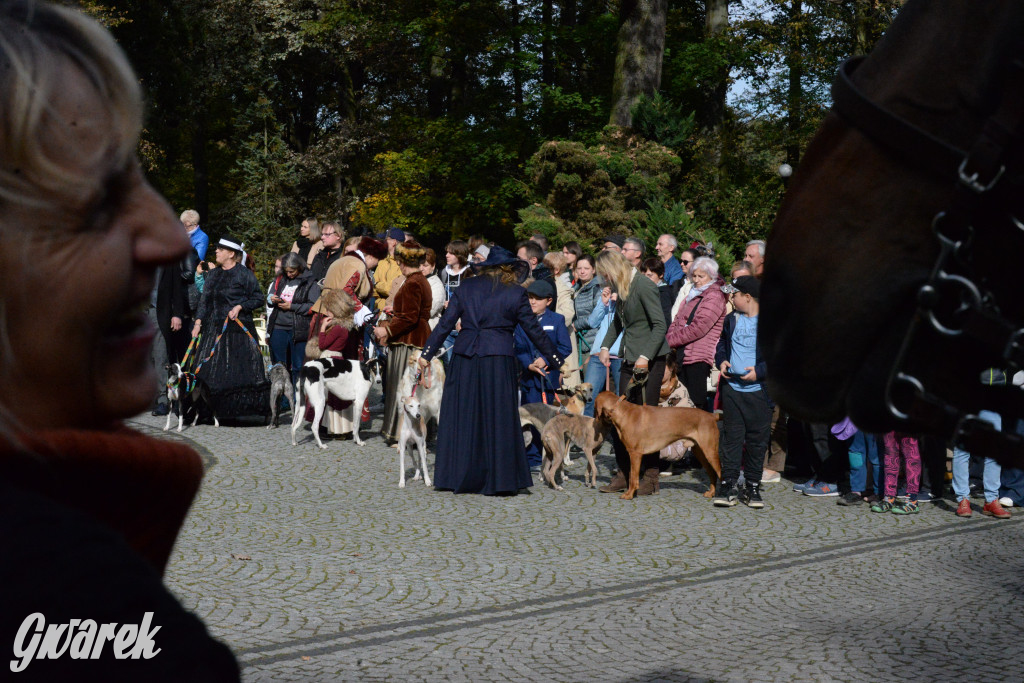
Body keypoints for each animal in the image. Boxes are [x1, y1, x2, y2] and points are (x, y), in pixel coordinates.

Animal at [589, 393, 724, 499]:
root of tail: (712, 415)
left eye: (594, 407)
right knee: (712, 473)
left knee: (720, 472)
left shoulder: (635, 454)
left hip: (710, 452)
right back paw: (711, 493)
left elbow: (633, 478)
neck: (623, 412)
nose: (593, 423)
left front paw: (629, 495)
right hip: (700, 452)